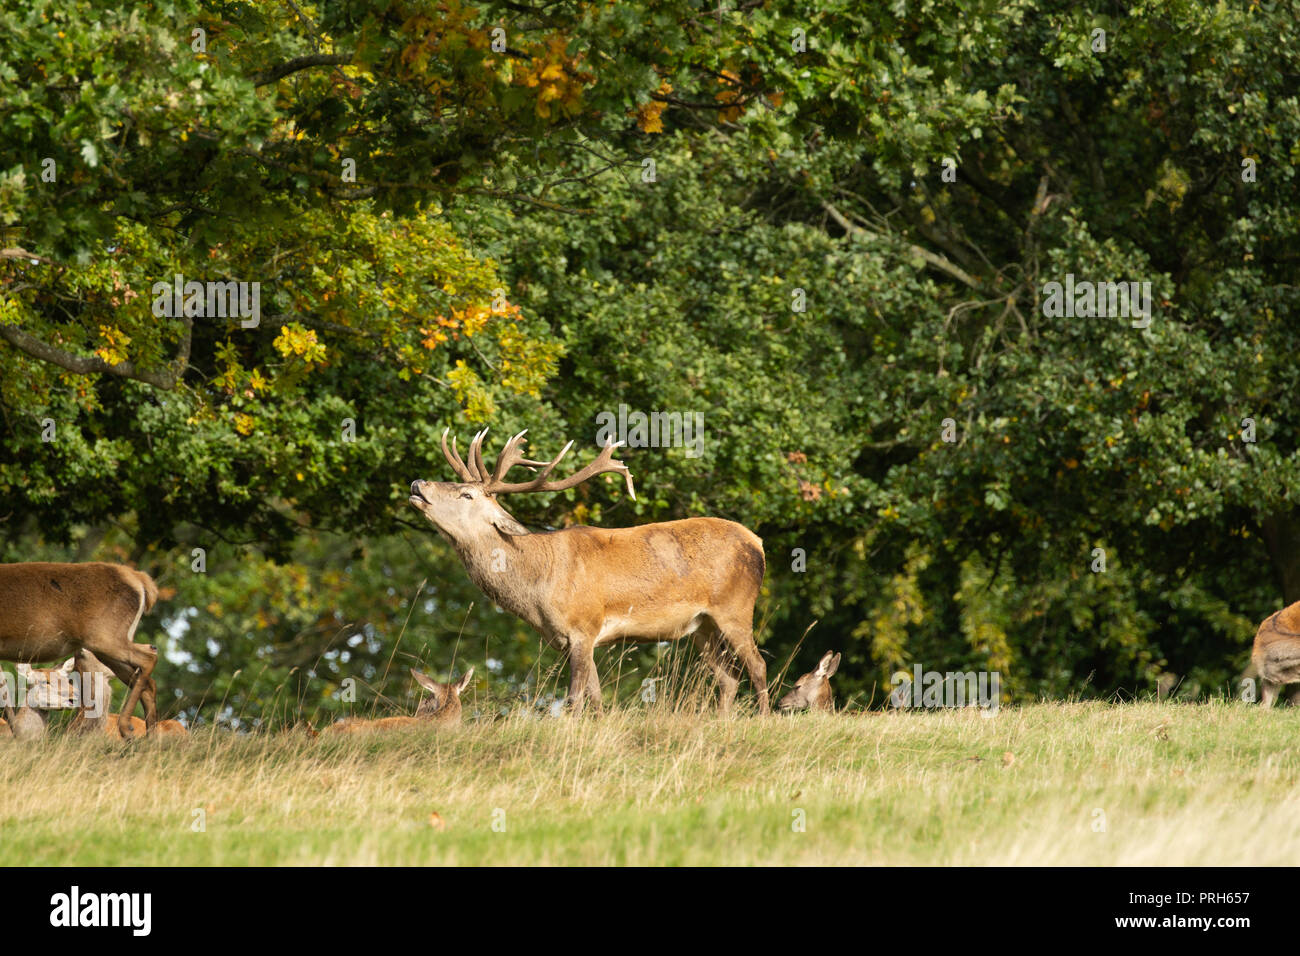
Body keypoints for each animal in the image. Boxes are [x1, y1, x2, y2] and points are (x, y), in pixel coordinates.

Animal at [0, 562, 160, 737]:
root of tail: (140, 579)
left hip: (105, 637)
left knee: (148, 659)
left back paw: (126, 726)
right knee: (148, 682)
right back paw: (149, 738)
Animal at [408, 429, 770, 716]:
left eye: (466, 494)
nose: (417, 482)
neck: (539, 588)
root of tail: (758, 543)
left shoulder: (583, 625)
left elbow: (574, 698)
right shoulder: (576, 638)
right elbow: (595, 697)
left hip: (735, 607)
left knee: (758, 666)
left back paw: (764, 719)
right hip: (702, 626)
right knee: (728, 677)